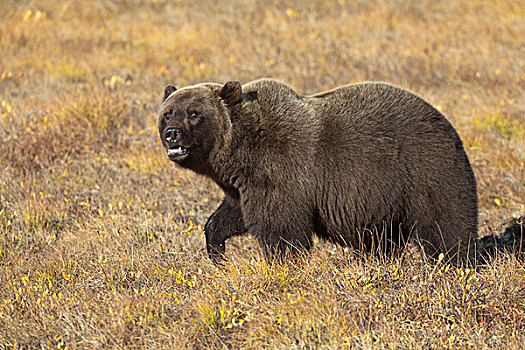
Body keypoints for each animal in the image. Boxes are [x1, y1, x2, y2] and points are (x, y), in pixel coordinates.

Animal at [157, 78, 478, 266]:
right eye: (167, 113)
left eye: (194, 113)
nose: (172, 134)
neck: (240, 150)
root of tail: (446, 122)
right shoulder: (244, 185)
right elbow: (231, 216)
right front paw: (217, 252)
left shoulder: (281, 169)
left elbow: (282, 229)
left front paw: (285, 267)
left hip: (424, 170)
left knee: (446, 225)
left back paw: (456, 263)